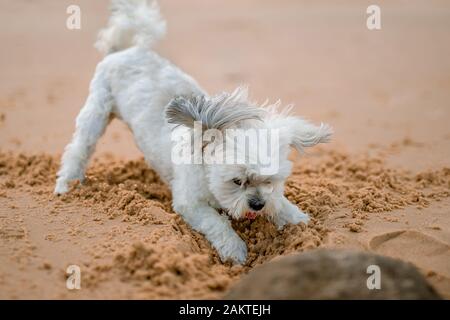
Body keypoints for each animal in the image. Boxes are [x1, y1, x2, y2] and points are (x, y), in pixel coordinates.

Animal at [54, 0, 332, 264]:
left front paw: (297, 219)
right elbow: (217, 224)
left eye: (270, 180)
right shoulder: (191, 204)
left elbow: (282, 204)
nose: (257, 204)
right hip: (96, 112)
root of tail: (130, 49)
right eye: (237, 181)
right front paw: (235, 250)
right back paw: (67, 183)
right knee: (78, 149)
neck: (205, 164)